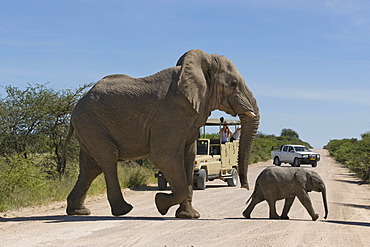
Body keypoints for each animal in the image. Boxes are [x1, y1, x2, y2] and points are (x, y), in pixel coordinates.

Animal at [62, 48, 260, 218]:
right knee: (108, 159)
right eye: (233, 84)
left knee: (91, 166)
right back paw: (123, 210)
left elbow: (189, 158)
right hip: (92, 123)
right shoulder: (170, 115)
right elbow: (164, 157)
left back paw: (78, 212)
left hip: (88, 126)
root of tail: (76, 108)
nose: (245, 187)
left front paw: (189, 216)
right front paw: (160, 203)